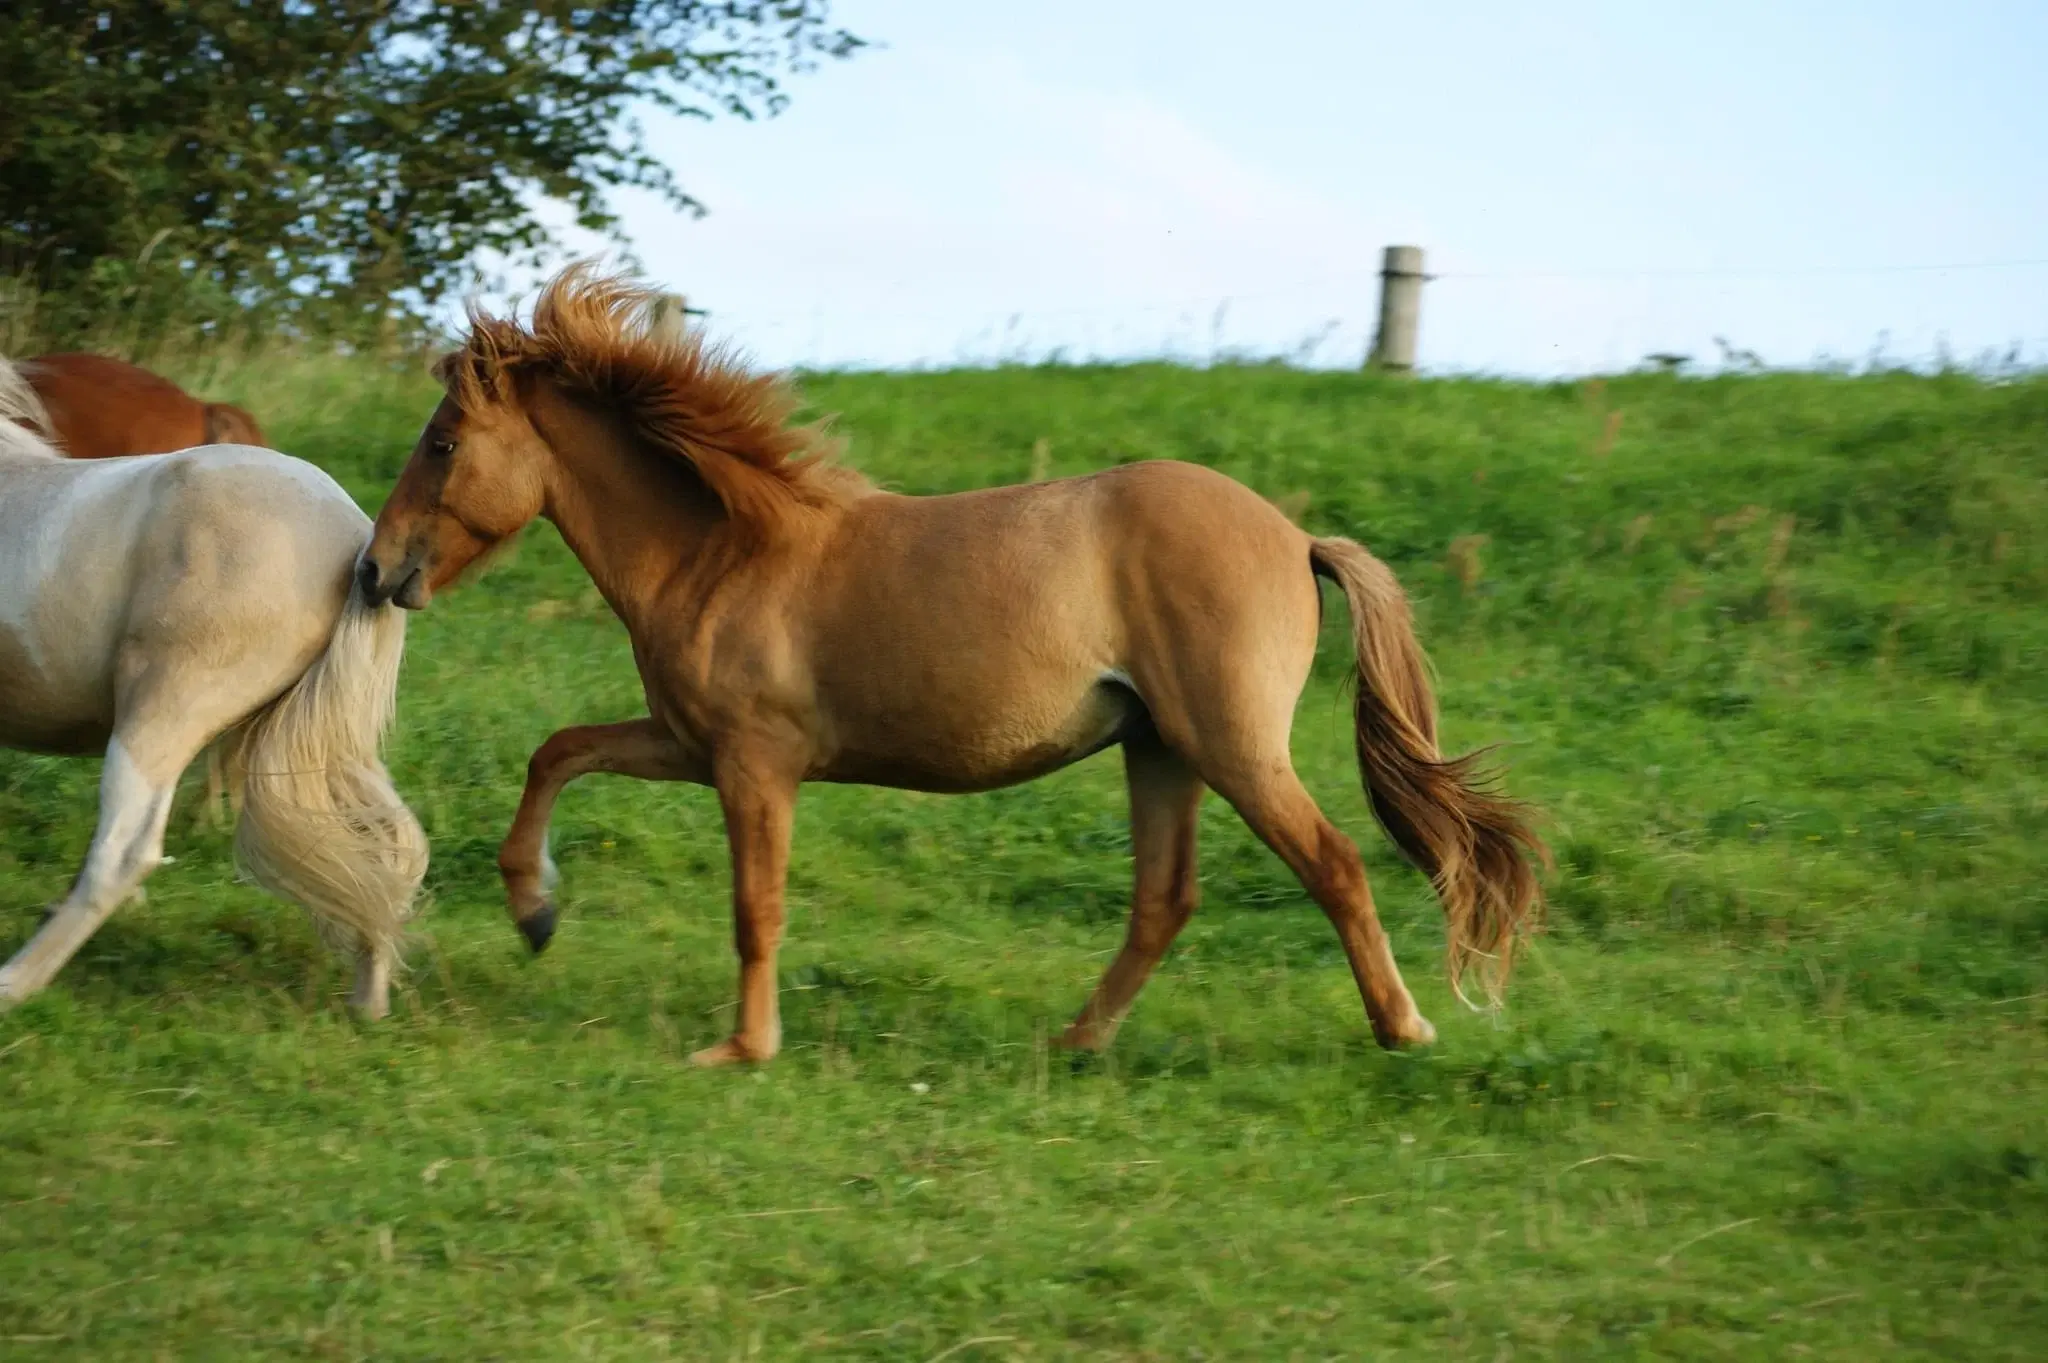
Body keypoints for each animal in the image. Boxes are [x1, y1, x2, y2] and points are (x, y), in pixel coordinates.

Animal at [360, 266, 1540, 1064]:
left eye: (443, 443)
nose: (376, 569)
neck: (726, 551)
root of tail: (1296, 538)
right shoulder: (690, 744)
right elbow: (558, 751)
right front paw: (535, 910)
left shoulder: (752, 763)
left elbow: (755, 905)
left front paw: (739, 1049)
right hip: (1159, 749)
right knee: (1163, 900)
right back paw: (1075, 1042)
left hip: (1230, 745)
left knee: (1332, 863)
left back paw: (1403, 1027)